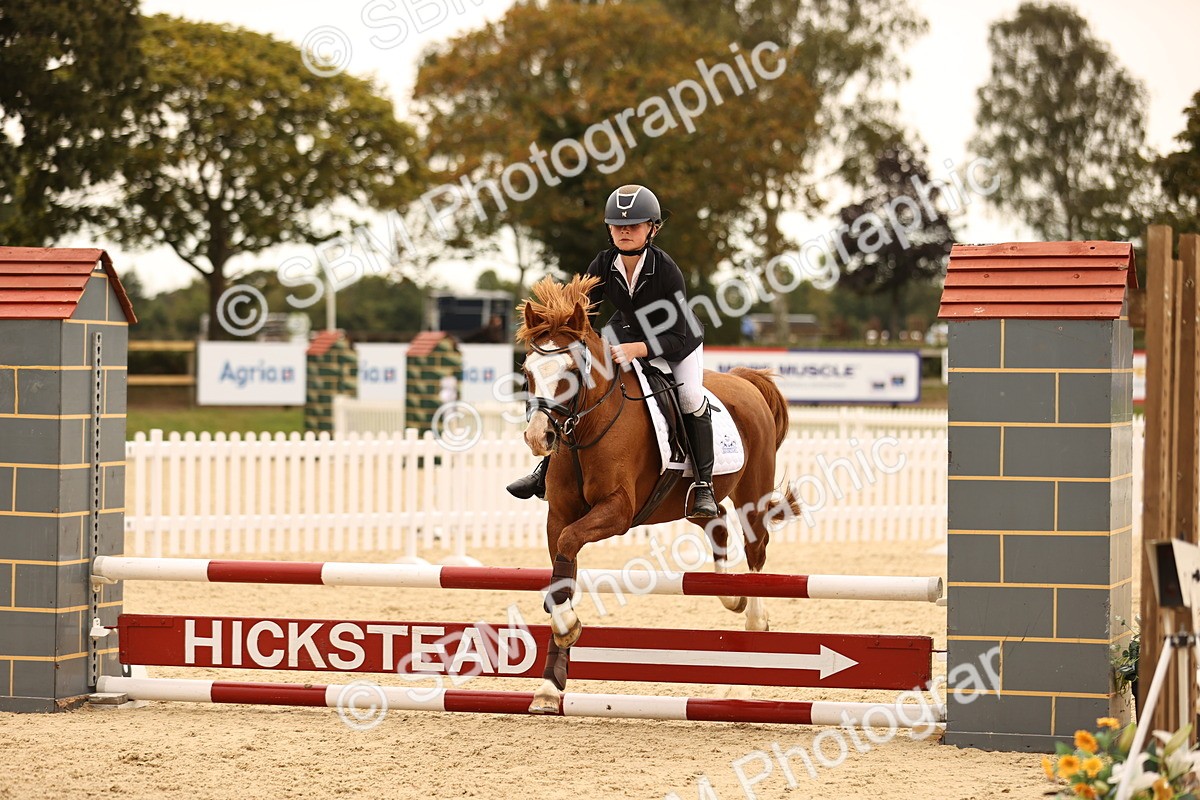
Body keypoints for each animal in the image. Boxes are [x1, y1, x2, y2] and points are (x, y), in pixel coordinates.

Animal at [516, 274, 801, 713]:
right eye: (527, 370)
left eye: (572, 370)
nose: (538, 437)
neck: (586, 427)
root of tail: (743, 379)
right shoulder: (559, 515)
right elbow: (562, 569)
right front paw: (550, 684)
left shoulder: (618, 511)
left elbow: (569, 543)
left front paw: (569, 629)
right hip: (695, 501)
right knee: (715, 520)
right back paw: (729, 596)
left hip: (752, 493)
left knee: (755, 549)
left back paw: (749, 642)